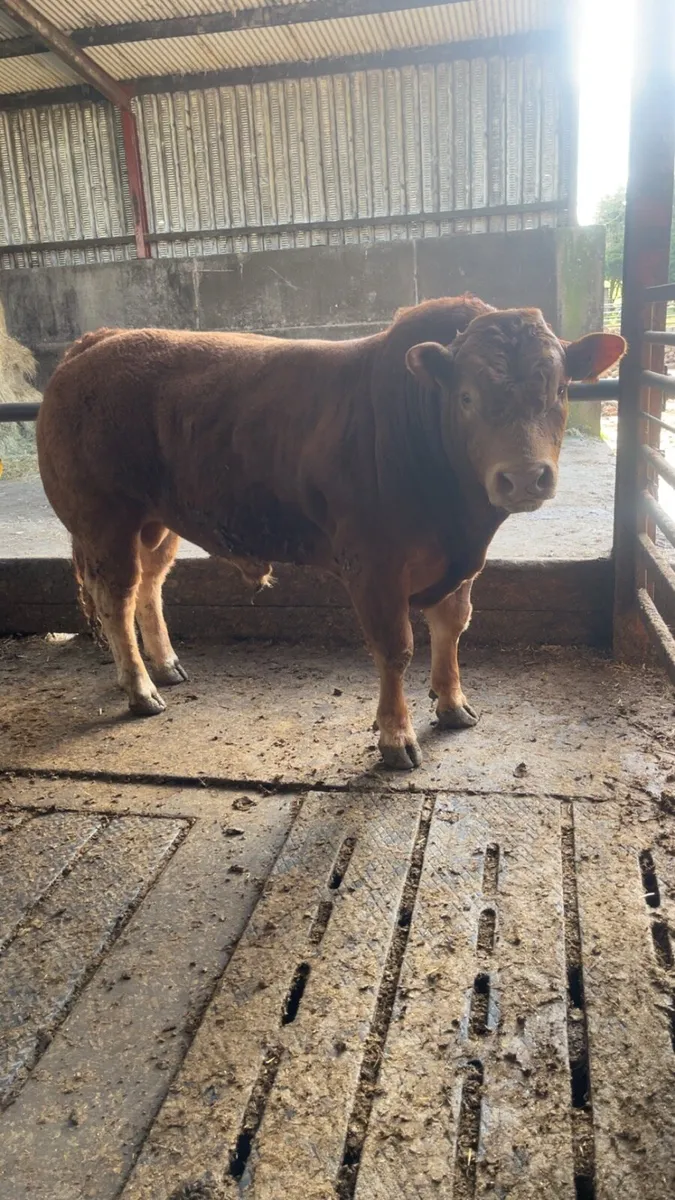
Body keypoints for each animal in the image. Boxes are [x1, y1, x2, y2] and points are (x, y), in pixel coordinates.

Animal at [36, 297, 625, 769]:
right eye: (466, 398)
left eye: (562, 389)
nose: (523, 477)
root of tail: (98, 340)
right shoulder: (373, 565)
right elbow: (396, 648)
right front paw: (395, 738)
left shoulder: (459, 563)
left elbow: (452, 627)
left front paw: (453, 704)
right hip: (104, 520)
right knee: (117, 598)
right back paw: (139, 690)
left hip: (158, 524)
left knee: (150, 587)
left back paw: (165, 666)